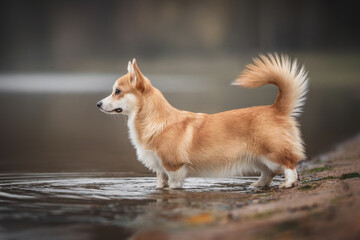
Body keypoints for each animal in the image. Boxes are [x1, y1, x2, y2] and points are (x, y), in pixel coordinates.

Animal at [97, 54, 308, 189]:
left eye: (117, 91)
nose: (98, 104)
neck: (156, 121)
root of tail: (276, 108)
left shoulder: (174, 169)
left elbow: (173, 186)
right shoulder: (160, 170)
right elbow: (160, 186)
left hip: (272, 151)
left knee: (289, 164)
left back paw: (288, 183)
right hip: (257, 158)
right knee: (268, 173)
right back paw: (257, 184)